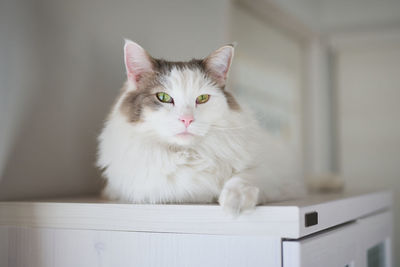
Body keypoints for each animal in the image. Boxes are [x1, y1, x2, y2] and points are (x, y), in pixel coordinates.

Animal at [97, 39, 306, 216]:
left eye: (202, 98)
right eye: (163, 97)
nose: (187, 120)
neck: (188, 154)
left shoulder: (281, 179)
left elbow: (247, 176)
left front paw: (234, 201)